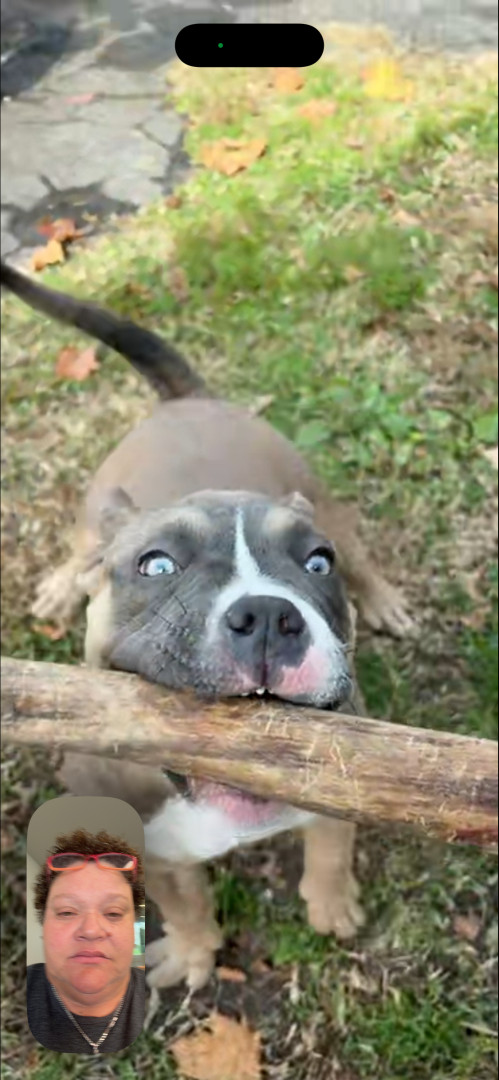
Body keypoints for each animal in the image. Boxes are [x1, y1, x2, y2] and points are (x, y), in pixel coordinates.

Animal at [1, 260, 413, 991]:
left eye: (316, 562)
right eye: (156, 564)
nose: (270, 616)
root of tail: (184, 401)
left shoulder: (339, 787)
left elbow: (330, 852)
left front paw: (331, 906)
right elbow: (182, 900)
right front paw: (193, 953)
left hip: (322, 497)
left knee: (363, 550)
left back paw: (384, 599)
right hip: (96, 506)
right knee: (82, 548)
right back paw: (60, 585)